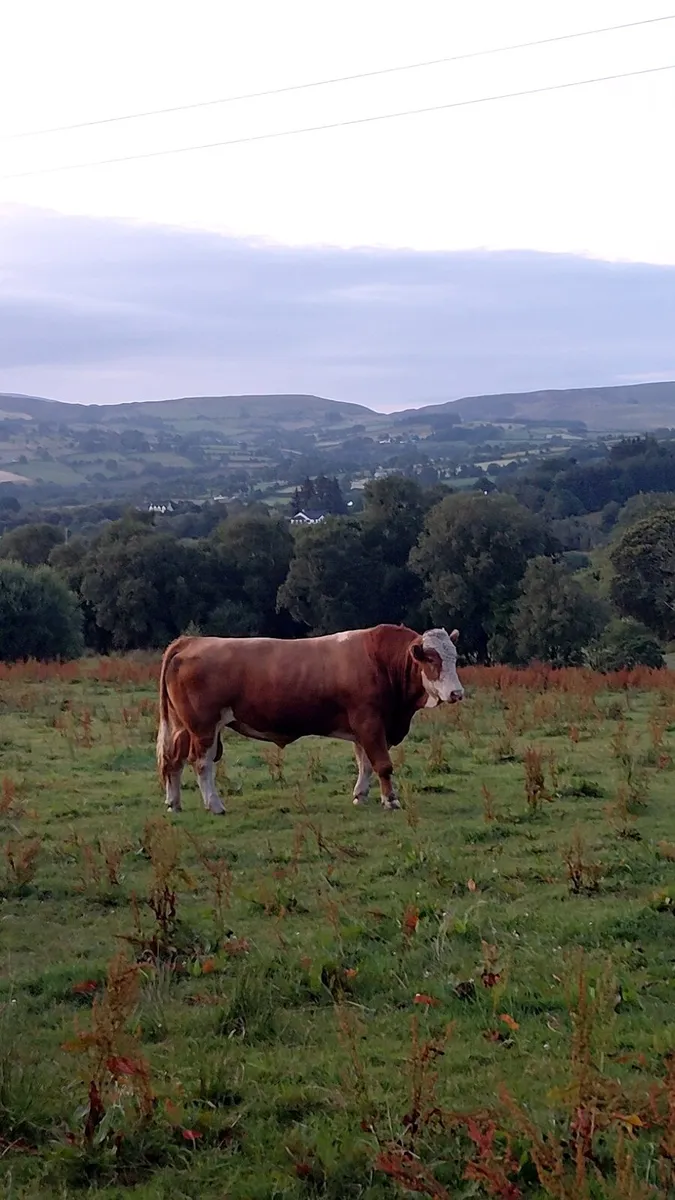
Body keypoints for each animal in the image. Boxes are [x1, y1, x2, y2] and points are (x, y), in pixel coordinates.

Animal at [156, 623, 463, 816]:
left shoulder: (365, 728)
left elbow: (364, 764)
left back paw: (174, 803)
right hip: (204, 727)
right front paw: (391, 800)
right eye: (432, 660)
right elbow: (382, 765)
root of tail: (191, 641)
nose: (457, 693)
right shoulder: (370, 722)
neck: (380, 661)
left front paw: (361, 795)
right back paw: (215, 805)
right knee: (201, 763)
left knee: (173, 761)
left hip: (182, 727)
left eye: (455, 658)